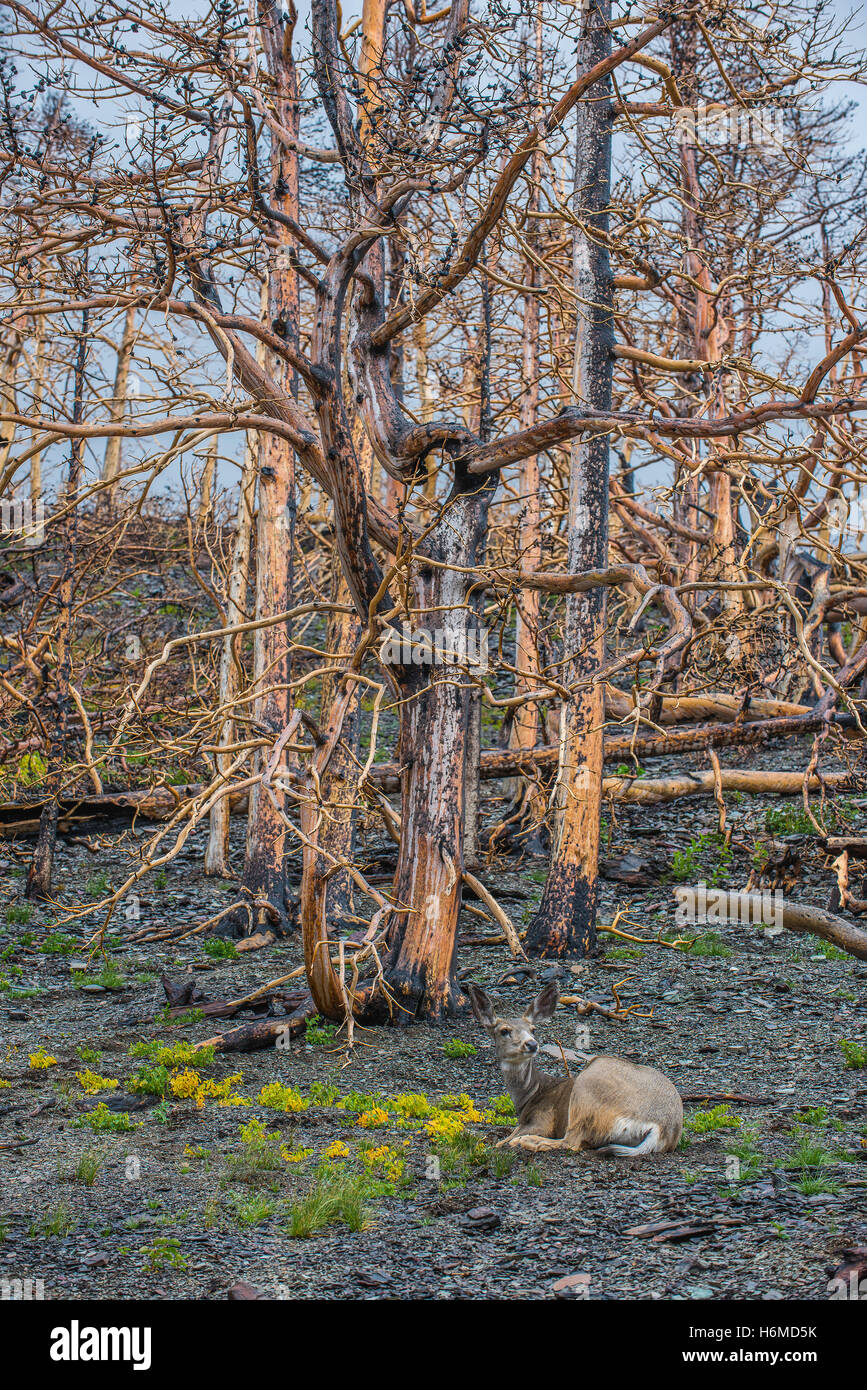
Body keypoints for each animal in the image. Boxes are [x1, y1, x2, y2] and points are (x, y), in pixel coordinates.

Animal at [467, 981, 682, 1157]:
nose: (532, 1044)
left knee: (572, 1141)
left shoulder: (543, 1119)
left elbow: (501, 1142)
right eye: (504, 1031)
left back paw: (527, 1142)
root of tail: (662, 1129)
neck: (531, 1094)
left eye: (533, 1029)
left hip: (588, 1084)